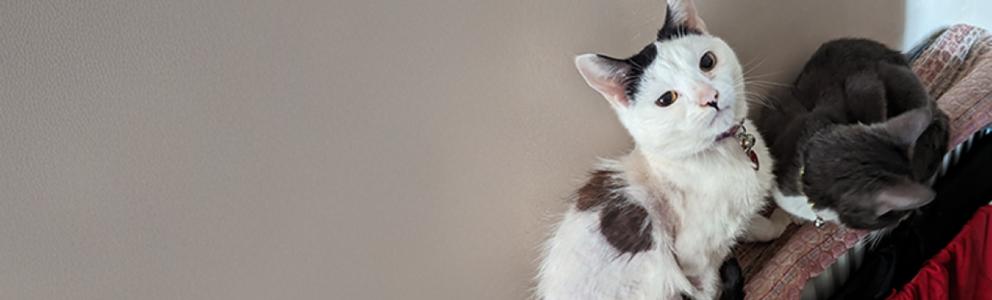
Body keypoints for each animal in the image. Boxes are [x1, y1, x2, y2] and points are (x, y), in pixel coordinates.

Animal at [540, 1, 788, 298]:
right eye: (666, 99)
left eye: (707, 62)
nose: (710, 97)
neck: (722, 154)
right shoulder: (690, 259)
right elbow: (706, 285)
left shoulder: (734, 219)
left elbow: (755, 227)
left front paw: (778, 222)